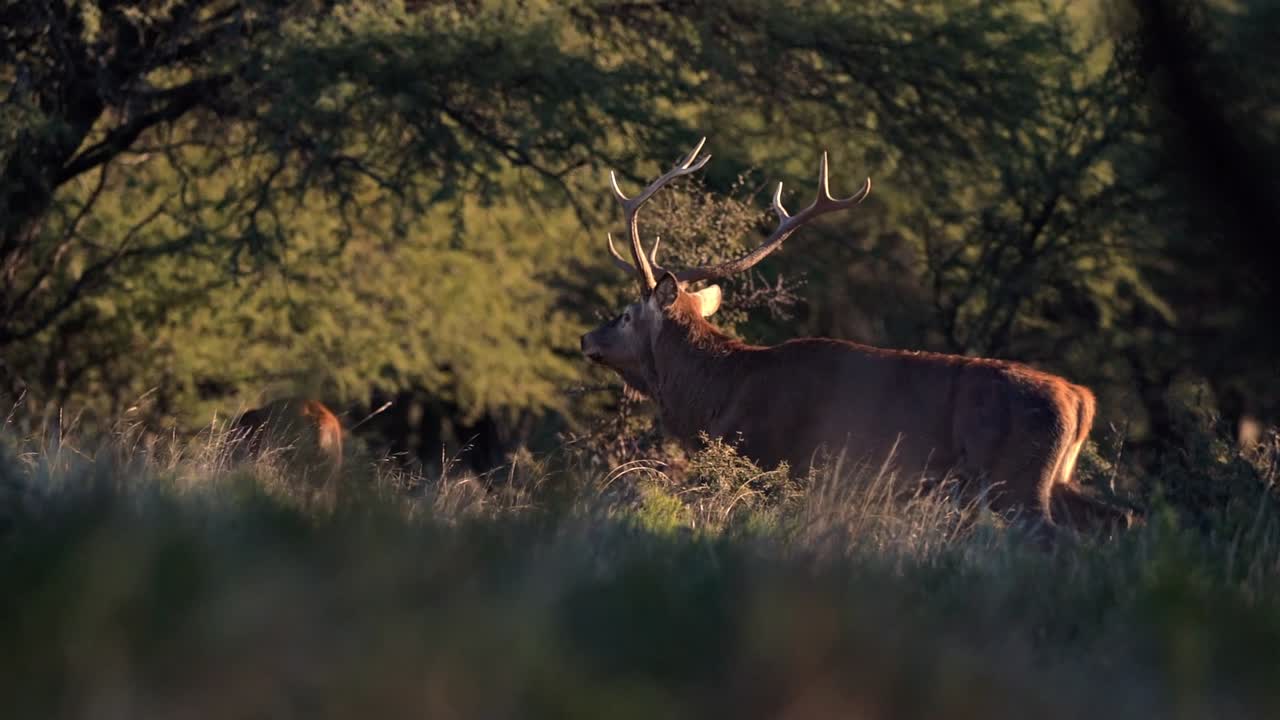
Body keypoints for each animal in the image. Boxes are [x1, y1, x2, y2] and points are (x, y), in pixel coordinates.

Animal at [580, 137, 1136, 539]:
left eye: (625, 314)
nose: (587, 339)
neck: (720, 393)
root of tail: (1081, 399)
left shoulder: (773, 460)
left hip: (1015, 477)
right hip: (1055, 476)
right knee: (1119, 517)